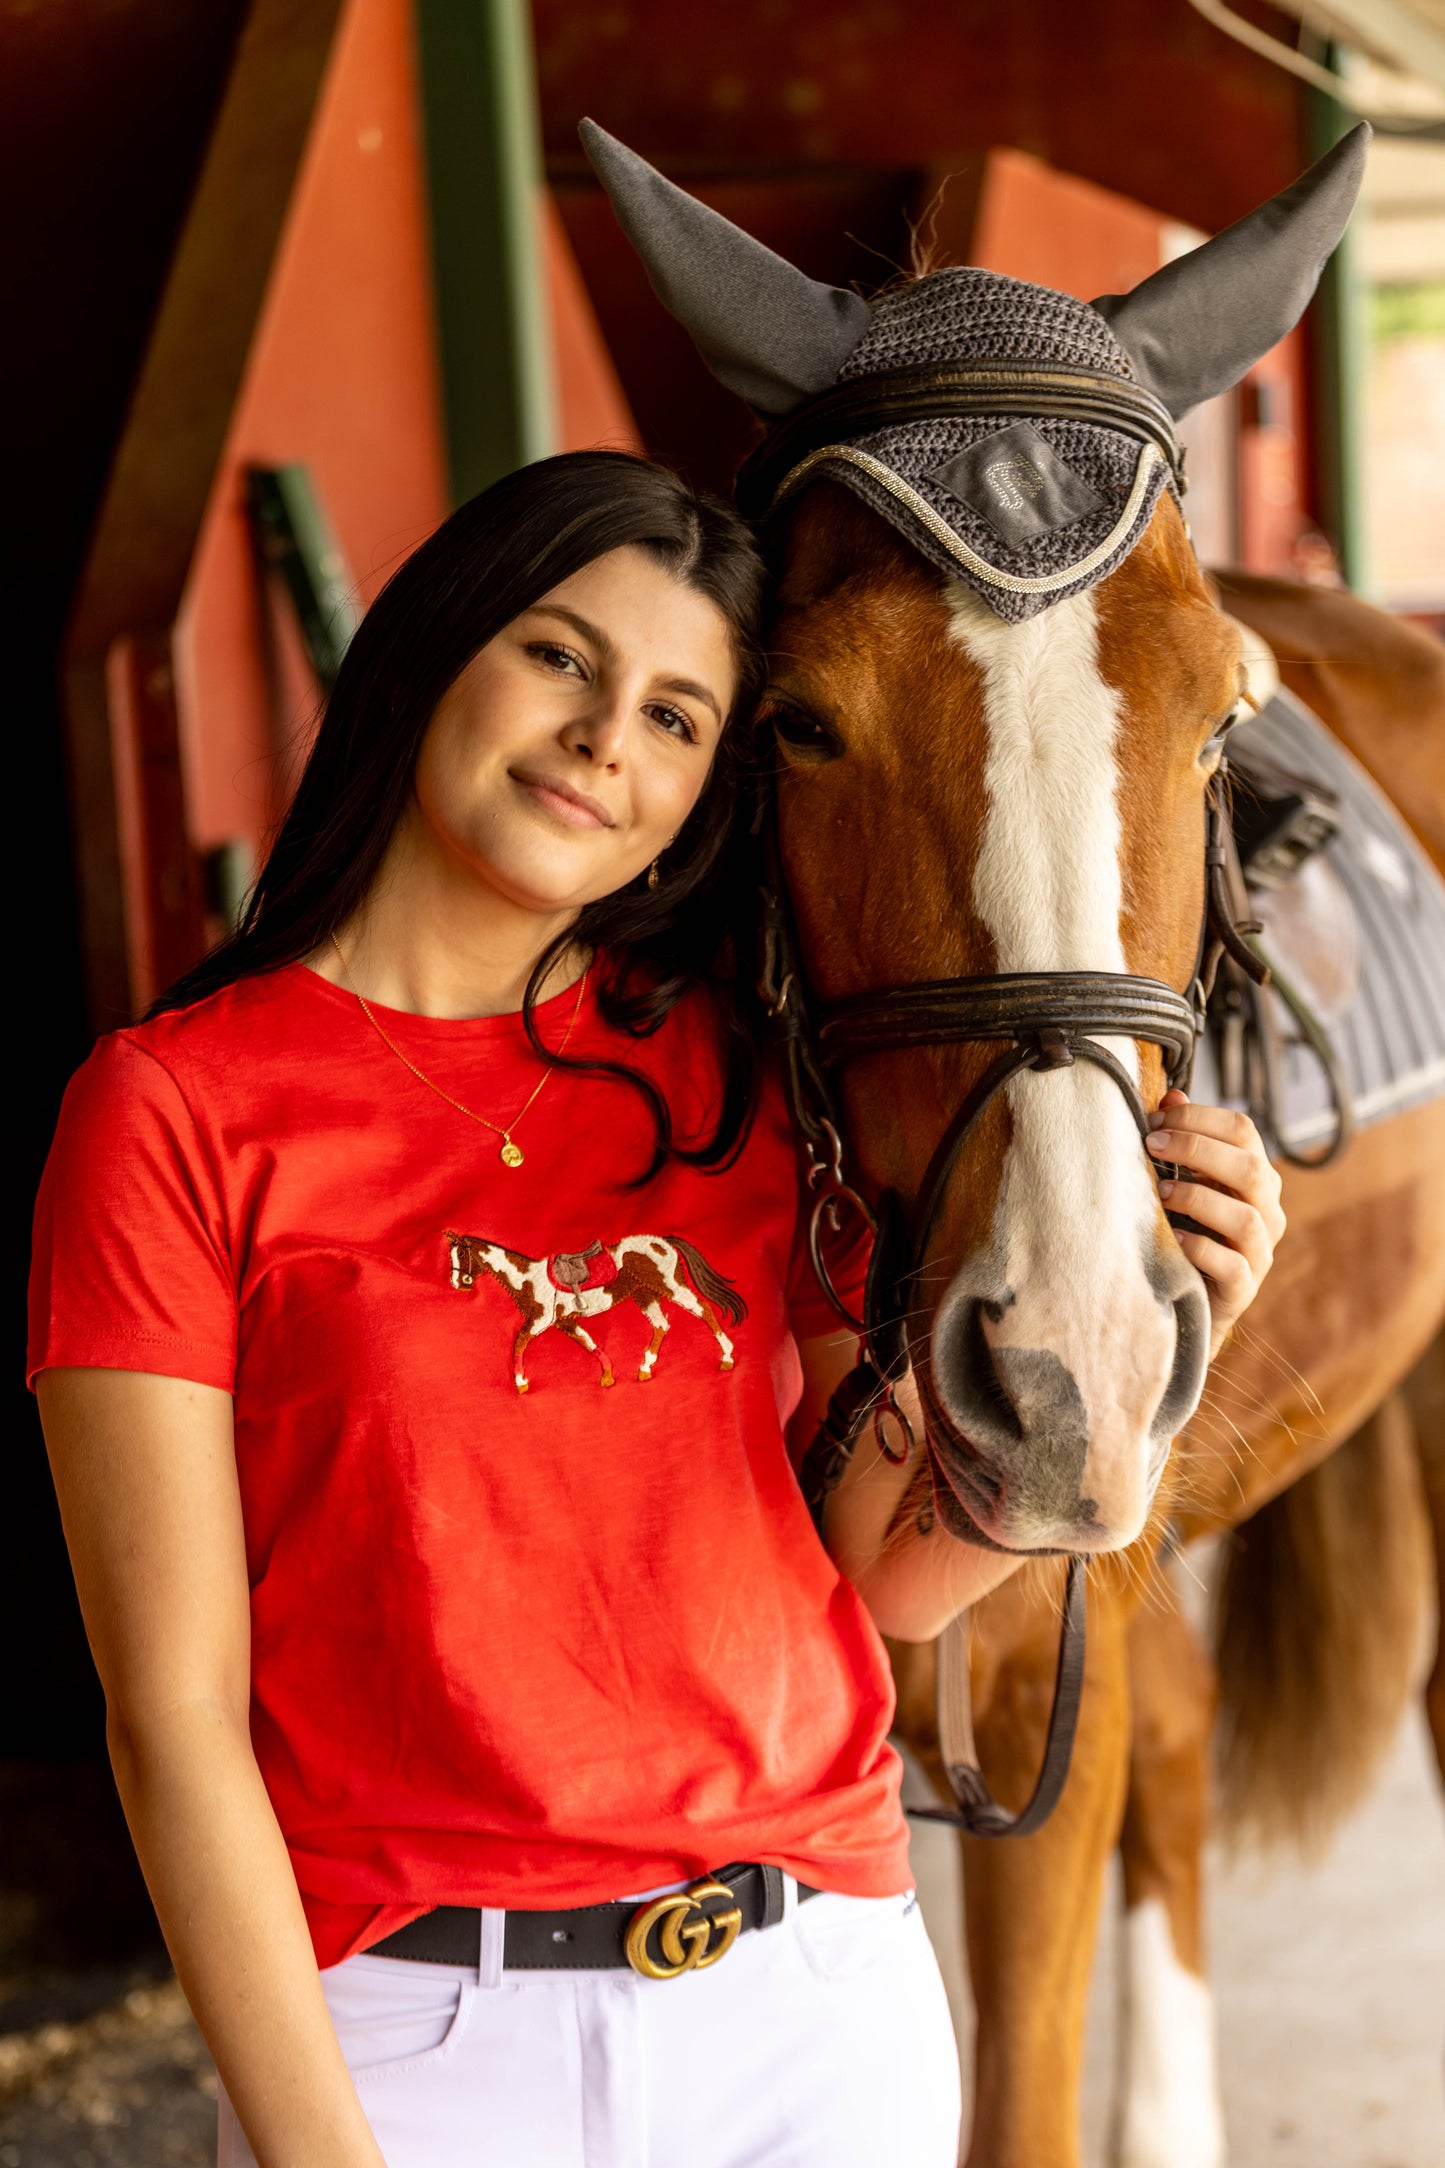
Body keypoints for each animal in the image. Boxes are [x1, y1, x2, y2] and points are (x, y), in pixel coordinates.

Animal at [444, 1230, 745, 1391]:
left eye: (462, 1253)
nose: (458, 1283)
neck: (528, 1278)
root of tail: (662, 1241)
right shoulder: (565, 1322)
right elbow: (589, 1343)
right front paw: (608, 1375)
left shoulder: (541, 1321)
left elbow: (519, 1343)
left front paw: (520, 1383)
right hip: (644, 1293)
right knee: (661, 1324)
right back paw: (645, 1368)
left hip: (670, 1284)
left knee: (704, 1309)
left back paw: (727, 1358)